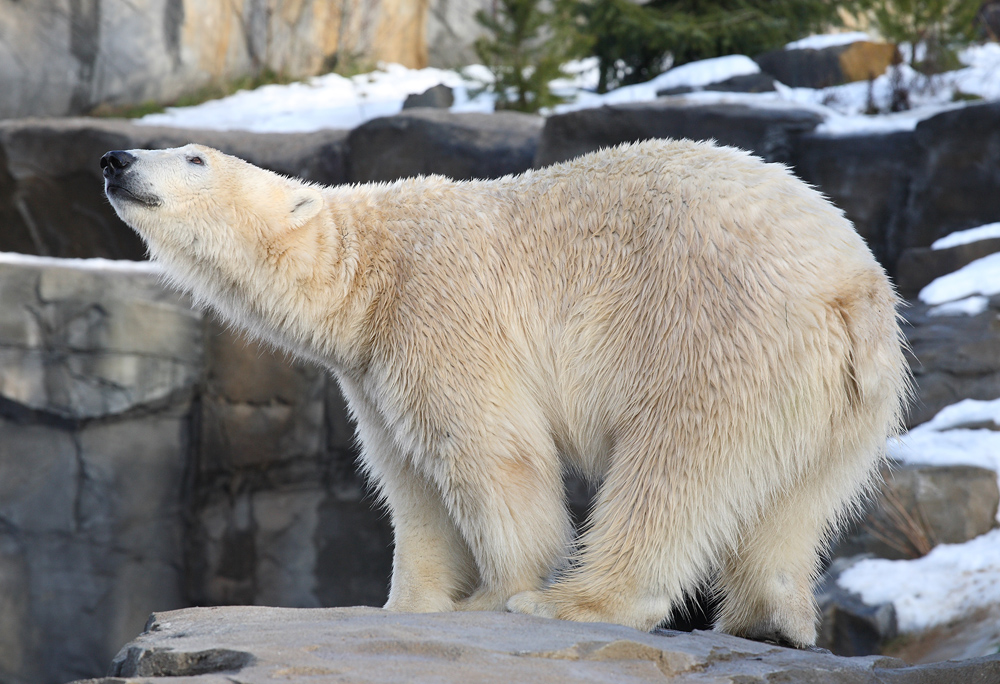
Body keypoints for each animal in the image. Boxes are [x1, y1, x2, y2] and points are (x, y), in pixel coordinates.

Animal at [105, 140, 912, 648]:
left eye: (194, 156)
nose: (114, 159)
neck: (369, 265)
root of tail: (854, 290)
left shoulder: (437, 309)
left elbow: (492, 452)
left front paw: (495, 595)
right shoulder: (370, 368)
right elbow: (411, 483)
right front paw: (408, 604)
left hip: (713, 330)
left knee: (676, 463)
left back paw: (570, 602)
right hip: (846, 397)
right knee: (799, 499)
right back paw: (769, 620)